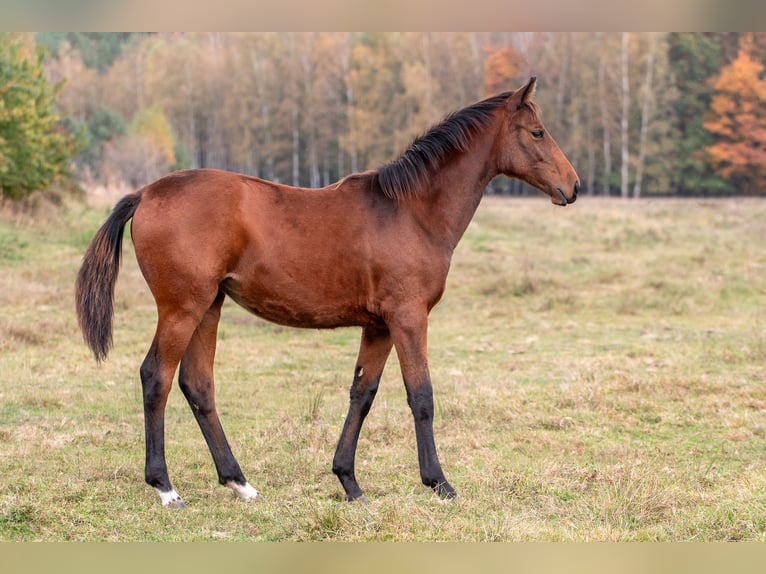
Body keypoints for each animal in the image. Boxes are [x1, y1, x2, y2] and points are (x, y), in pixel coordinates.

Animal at [79, 77, 584, 508]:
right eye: (537, 132)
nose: (573, 186)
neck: (411, 212)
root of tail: (145, 193)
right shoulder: (408, 317)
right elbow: (421, 396)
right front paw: (439, 483)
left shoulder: (379, 326)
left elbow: (363, 393)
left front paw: (349, 482)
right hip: (181, 308)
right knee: (156, 378)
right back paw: (165, 487)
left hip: (209, 306)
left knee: (198, 384)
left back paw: (240, 483)